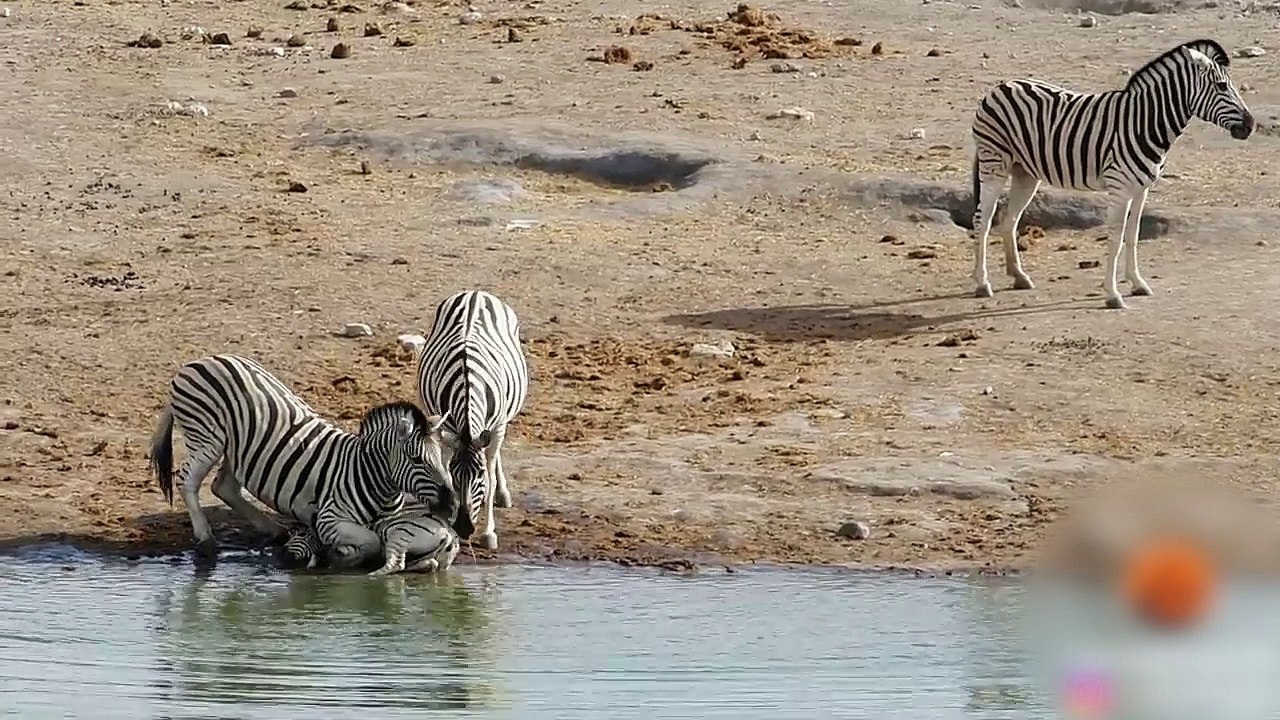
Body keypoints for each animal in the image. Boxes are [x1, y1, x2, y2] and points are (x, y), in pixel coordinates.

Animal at [148, 354, 455, 568]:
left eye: (443, 458)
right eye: (416, 460)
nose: (452, 506)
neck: (367, 473)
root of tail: (198, 361)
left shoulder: (388, 521)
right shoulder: (330, 517)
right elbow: (371, 542)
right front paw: (341, 557)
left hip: (238, 447)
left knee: (223, 486)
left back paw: (273, 529)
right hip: (208, 438)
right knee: (187, 481)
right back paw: (205, 539)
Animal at [282, 501, 463, 576]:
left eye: (301, 534)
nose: (283, 553)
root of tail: (447, 531)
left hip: (397, 534)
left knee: (395, 564)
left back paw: (371, 575)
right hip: (442, 561)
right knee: (430, 565)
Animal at [417, 290, 530, 551]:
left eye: (479, 476)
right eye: (454, 474)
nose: (464, 528)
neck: (467, 383)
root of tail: (475, 293)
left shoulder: (497, 426)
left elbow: (490, 473)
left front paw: (489, 533)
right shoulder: (448, 429)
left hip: (501, 422)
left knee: (494, 454)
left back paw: (502, 494)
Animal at [969, 38, 1254, 309]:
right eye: (1221, 86)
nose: (1250, 126)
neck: (1145, 123)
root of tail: (1001, 86)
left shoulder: (1142, 188)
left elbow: (1133, 234)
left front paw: (1137, 283)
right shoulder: (1120, 188)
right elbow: (1116, 238)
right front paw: (1113, 294)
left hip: (1025, 172)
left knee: (1009, 219)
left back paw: (1018, 276)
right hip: (994, 163)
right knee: (982, 220)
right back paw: (982, 283)